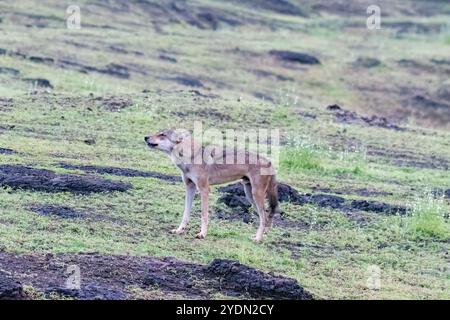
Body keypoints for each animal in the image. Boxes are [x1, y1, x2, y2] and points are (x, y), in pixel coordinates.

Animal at [144, 129, 280, 241]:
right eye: (157, 132)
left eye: (162, 135)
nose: (145, 137)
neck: (189, 157)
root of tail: (269, 161)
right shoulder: (190, 187)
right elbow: (185, 214)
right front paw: (179, 230)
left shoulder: (204, 189)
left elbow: (204, 214)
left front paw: (202, 234)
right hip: (249, 195)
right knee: (265, 216)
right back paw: (258, 237)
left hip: (256, 195)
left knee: (264, 217)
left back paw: (257, 239)